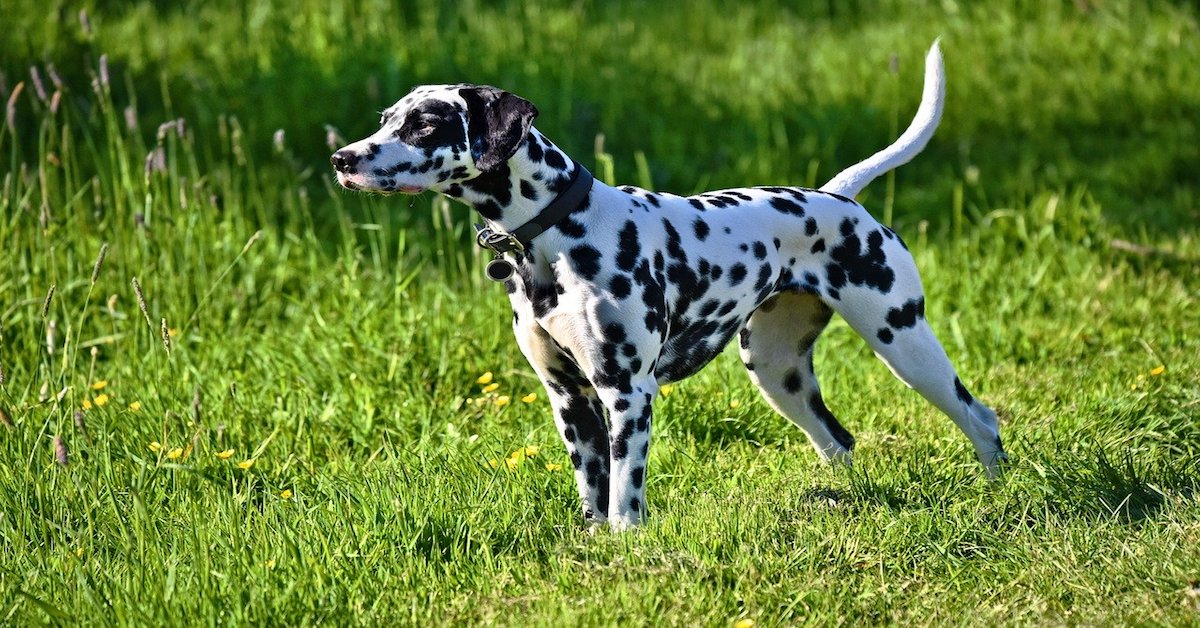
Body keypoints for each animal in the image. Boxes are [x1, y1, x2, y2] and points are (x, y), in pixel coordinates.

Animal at [333, 40, 1008, 530]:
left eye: (424, 124)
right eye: (385, 120)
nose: (343, 158)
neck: (555, 237)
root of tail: (837, 196)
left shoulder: (626, 393)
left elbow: (623, 496)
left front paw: (625, 543)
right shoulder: (568, 399)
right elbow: (593, 492)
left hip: (905, 344)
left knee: (982, 419)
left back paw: (999, 491)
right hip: (777, 370)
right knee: (838, 441)